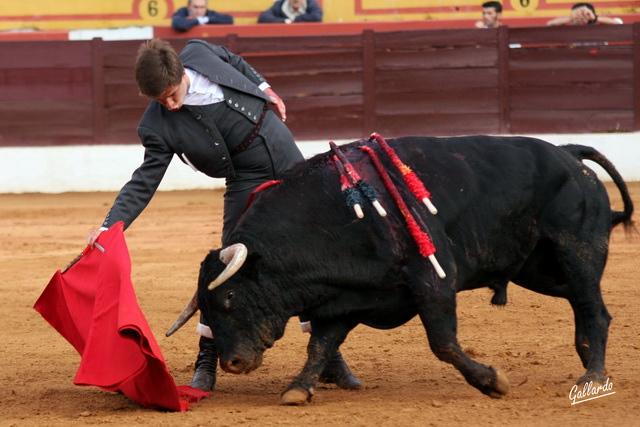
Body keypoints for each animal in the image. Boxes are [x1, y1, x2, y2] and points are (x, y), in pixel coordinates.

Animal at [168, 135, 632, 406]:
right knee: (585, 307)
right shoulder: (341, 302)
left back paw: (592, 374)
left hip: (577, 252)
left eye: (230, 299)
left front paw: (492, 382)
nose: (232, 362)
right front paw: (298, 390)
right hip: (538, 271)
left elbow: (443, 343)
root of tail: (569, 154)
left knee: (594, 308)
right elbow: (319, 346)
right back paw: (591, 365)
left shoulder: (433, 280)